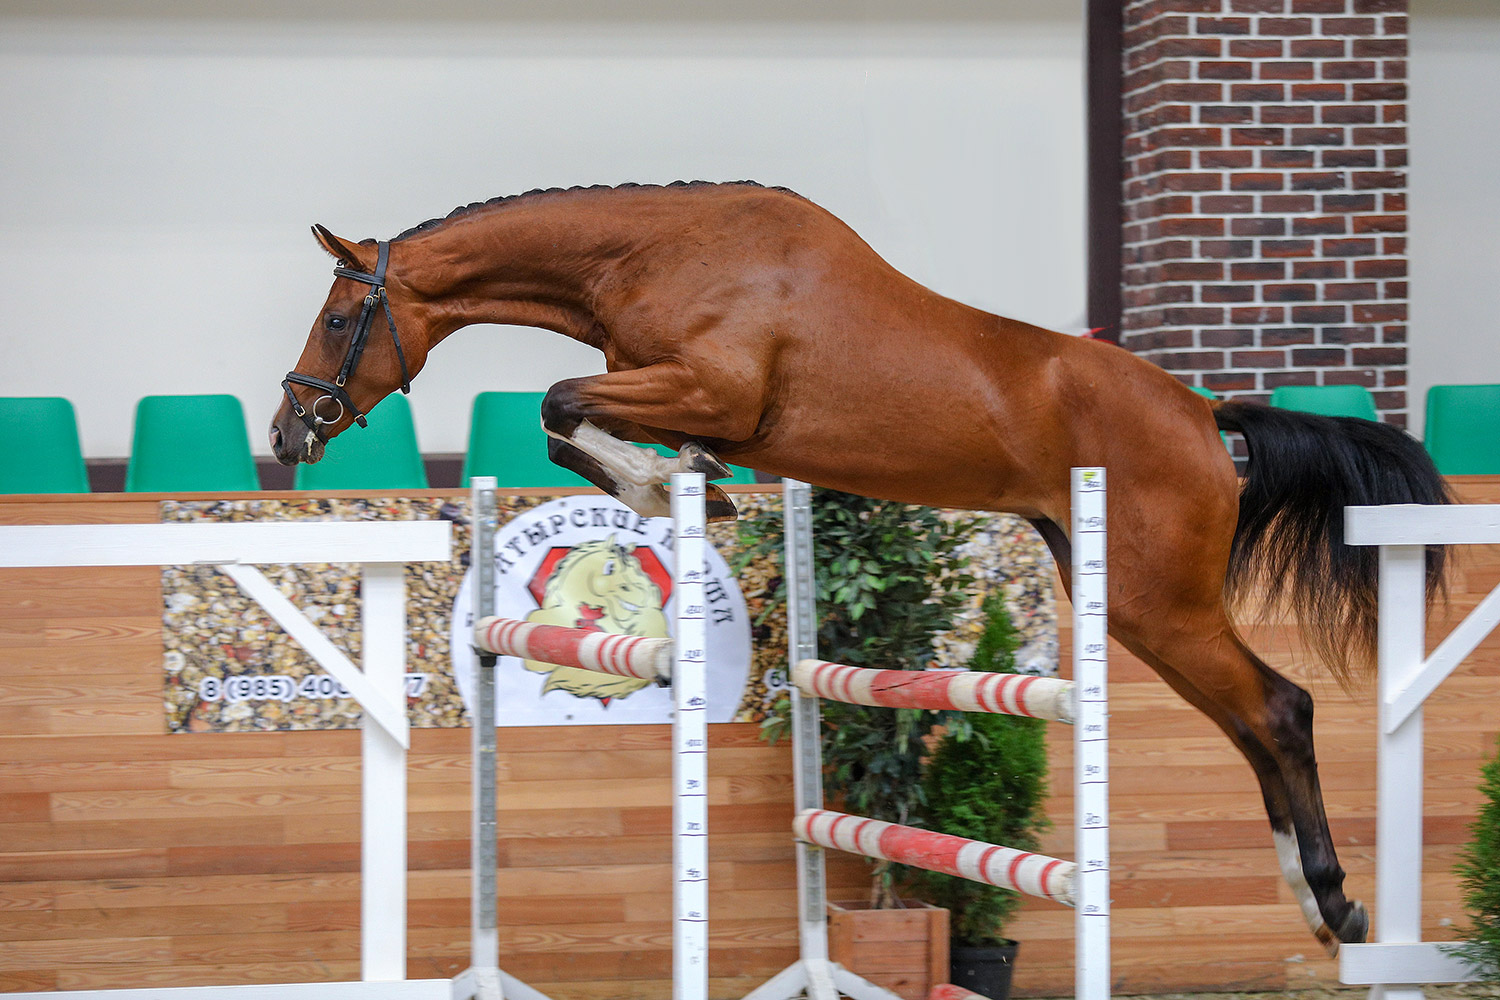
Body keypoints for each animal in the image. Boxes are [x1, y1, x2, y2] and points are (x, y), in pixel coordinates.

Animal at [273, 179, 1452, 953]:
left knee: (1280, 707)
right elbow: (570, 425)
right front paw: (687, 485)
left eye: (337, 317)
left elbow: (563, 404)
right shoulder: (674, 393)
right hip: (1128, 600)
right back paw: (1314, 899)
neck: (655, 254)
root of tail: (1209, 418)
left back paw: (1334, 902)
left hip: (1160, 602)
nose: (290, 434)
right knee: (1253, 719)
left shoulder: (709, 388)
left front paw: (674, 486)